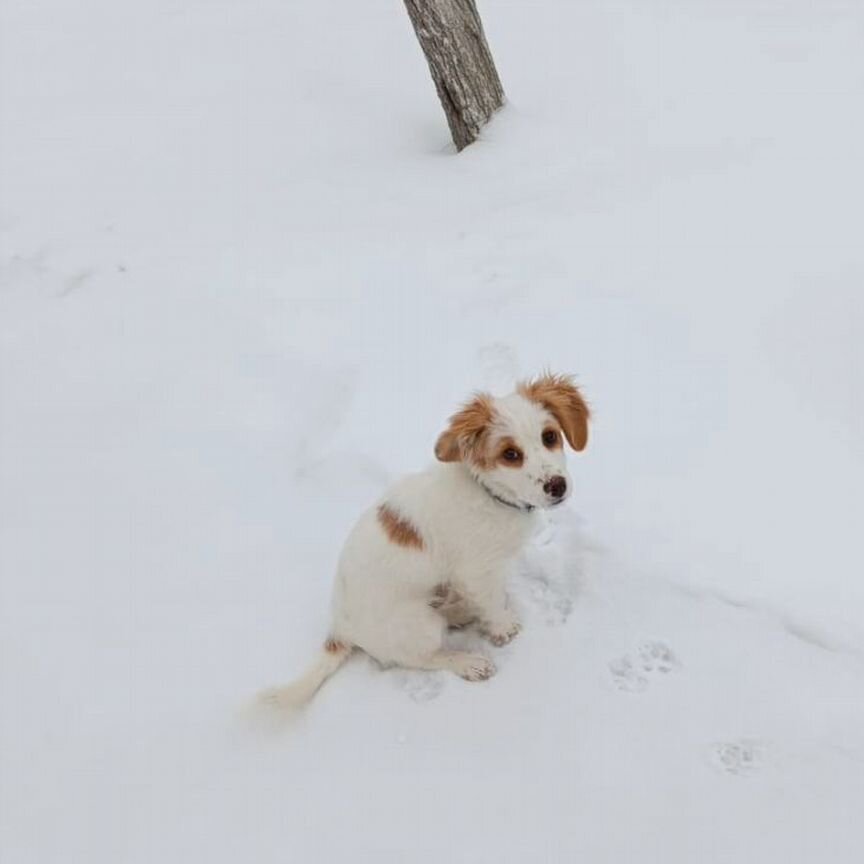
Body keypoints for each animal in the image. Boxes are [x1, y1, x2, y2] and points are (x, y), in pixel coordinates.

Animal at [260, 372, 592, 708]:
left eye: (549, 436)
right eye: (510, 455)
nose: (557, 486)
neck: (489, 493)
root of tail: (338, 630)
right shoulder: (477, 572)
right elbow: (492, 603)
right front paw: (503, 628)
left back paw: (461, 612)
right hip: (419, 624)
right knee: (422, 657)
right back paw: (468, 662)